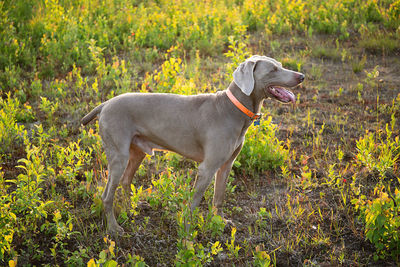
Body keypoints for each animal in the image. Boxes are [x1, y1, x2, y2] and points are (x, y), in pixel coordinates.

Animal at [83, 56, 304, 234]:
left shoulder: (226, 165)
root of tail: (105, 104)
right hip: (119, 155)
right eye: (273, 69)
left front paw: (219, 221)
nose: (301, 76)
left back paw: (132, 209)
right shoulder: (207, 168)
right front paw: (187, 230)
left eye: (280, 65)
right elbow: (195, 202)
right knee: (107, 195)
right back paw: (113, 228)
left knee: (126, 180)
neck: (233, 108)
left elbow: (218, 197)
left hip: (137, 152)